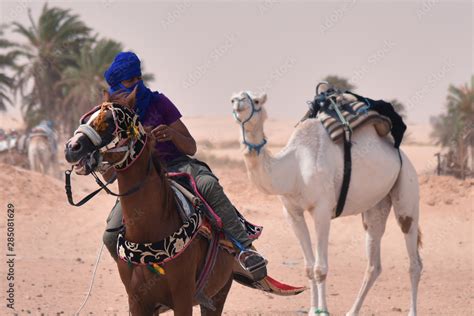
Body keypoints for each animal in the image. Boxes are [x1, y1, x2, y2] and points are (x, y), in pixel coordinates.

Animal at [64, 90, 234, 314]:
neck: (149, 232)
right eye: (86, 119)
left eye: (108, 121)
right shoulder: (138, 301)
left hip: (218, 294)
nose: (71, 147)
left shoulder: (183, 298)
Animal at [231, 91, 422, 316]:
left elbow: (320, 268)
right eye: (234, 97)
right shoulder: (292, 211)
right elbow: (308, 267)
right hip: (376, 206)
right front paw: (312, 308)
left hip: (407, 188)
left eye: (257, 100)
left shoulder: (322, 209)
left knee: (414, 261)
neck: (293, 167)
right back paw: (352, 311)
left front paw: (322, 310)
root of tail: (400, 154)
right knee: (374, 263)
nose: (238, 101)